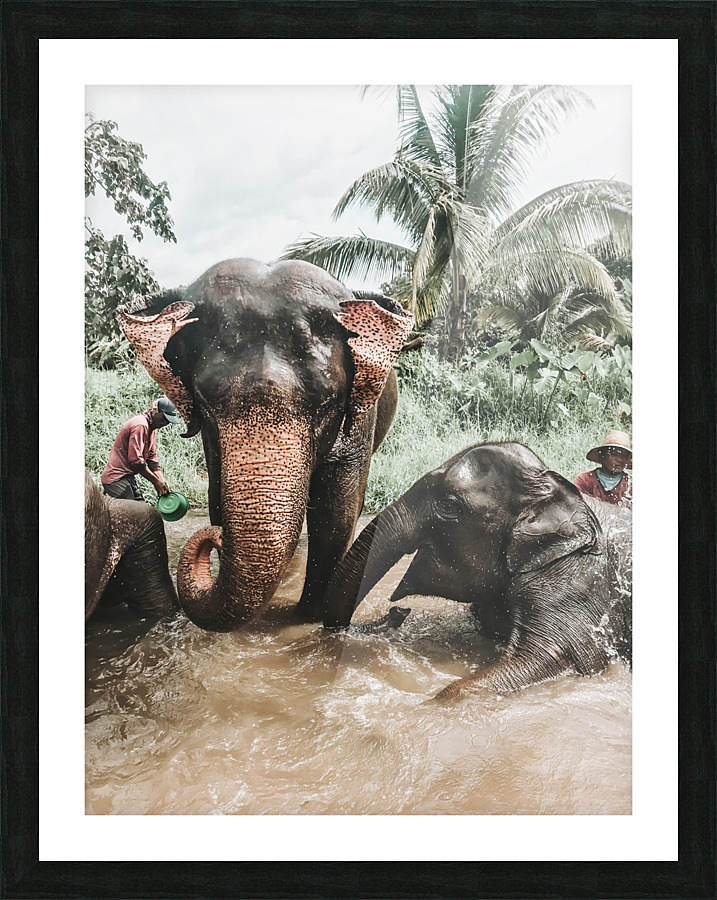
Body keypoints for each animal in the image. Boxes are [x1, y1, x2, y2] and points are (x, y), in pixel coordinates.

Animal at [118, 258, 413, 631]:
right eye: (206, 401)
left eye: (327, 403)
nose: (214, 538)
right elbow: (218, 496)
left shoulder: (359, 419)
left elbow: (337, 509)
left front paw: (308, 618)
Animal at [323, 441, 632, 701]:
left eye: (448, 505)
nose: (398, 611)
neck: (554, 489)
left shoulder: (574, 583)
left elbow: (559, 656)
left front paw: (428, 705)